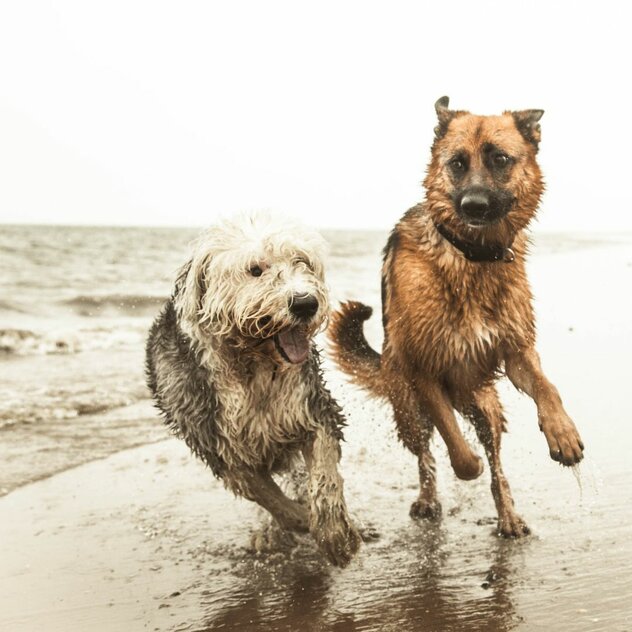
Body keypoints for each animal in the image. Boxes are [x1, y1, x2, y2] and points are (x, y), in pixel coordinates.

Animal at [144, 212, 360, 568]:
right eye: (255, 269)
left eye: (302, 262)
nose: (305, 303)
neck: (253, 366)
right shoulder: (219, 446)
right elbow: (265, 493)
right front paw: (300, 519)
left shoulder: (311, 407)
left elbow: (324, 472)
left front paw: (333, 534)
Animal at [330, 96, 584, 536]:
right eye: (457, 163)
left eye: (500, 159)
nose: (474, 206)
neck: (471, 257)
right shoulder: (424, 370)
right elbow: (456, 449)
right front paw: (467, 465)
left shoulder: (516, 353)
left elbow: (547, 387)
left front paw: (562, 431)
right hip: (407, 410)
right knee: (426, 455)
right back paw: (429, 498)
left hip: (485, 407)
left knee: (497, 463)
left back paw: (507, 515)